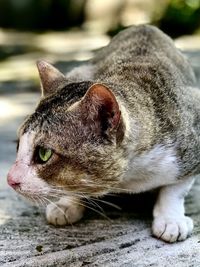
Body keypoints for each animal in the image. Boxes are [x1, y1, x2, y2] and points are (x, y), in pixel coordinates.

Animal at [7, 24, 199, 243]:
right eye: (18, 145)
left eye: (44, 154)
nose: (10, 179)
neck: (130, 177)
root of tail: (144, 26)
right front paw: (67, 204)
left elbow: (176, 188)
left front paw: (171, 219)